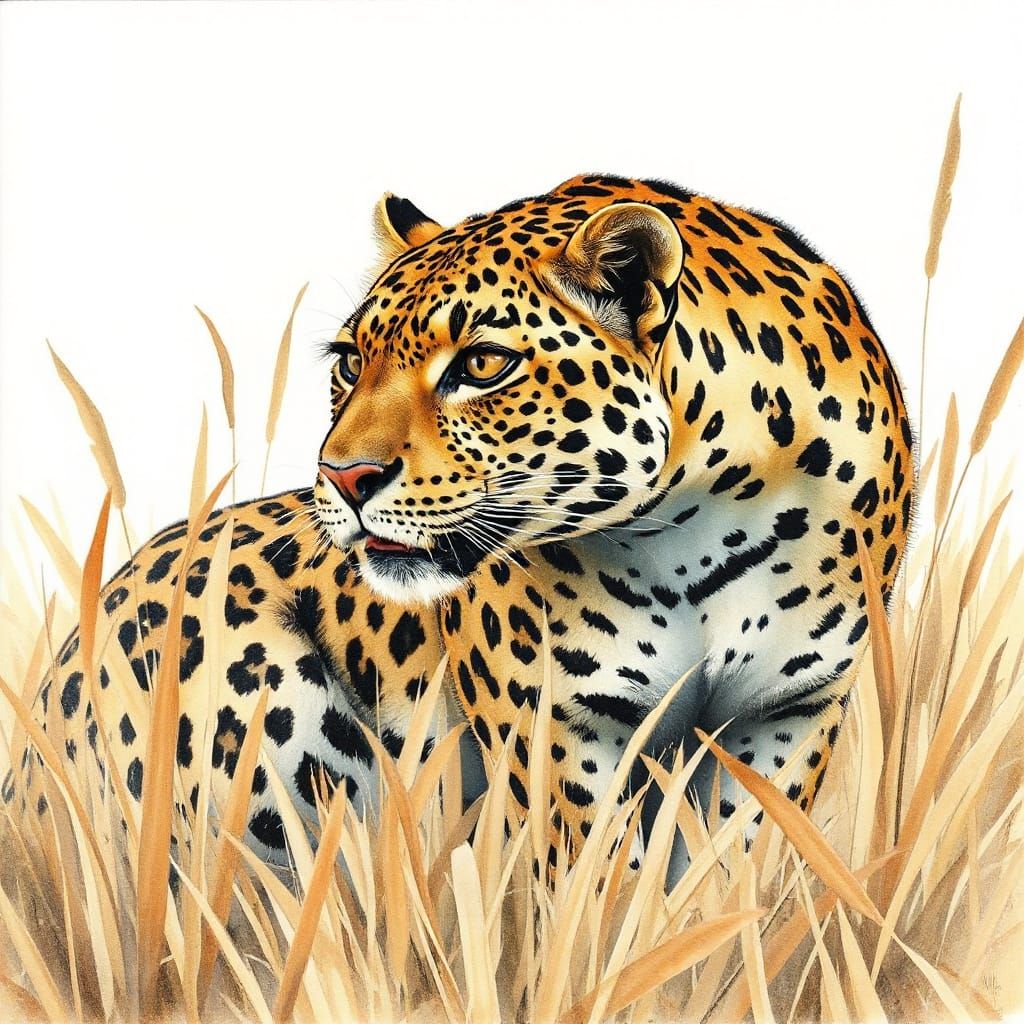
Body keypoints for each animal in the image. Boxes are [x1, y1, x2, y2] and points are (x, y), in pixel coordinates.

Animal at [11, 173, 914, 878]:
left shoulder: (789, 712)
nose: (344, 477)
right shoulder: (559, 725)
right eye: (350, 362)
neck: (693, 530)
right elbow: (590, 892)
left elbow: (734, 873)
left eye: (482, 364)